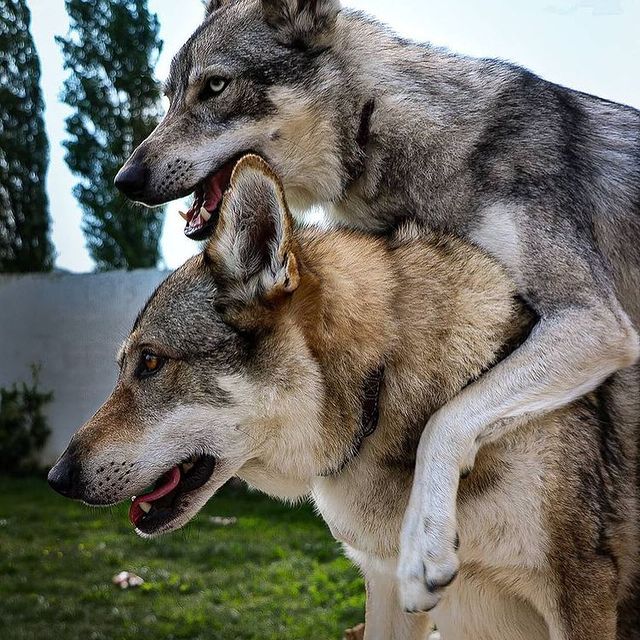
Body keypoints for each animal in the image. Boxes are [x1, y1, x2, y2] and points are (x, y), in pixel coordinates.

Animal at [52, 156, 640, 639]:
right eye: (124, 366)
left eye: (151, 362)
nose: (58, 479)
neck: (382, 389)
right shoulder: (386, 588)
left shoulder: (579, 588)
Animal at [113, 0, 640, 613]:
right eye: (169, 95)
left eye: (214, 87)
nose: (126, 179)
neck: (380, 130)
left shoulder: (594, 322)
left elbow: (445, 418)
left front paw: (422, 552)